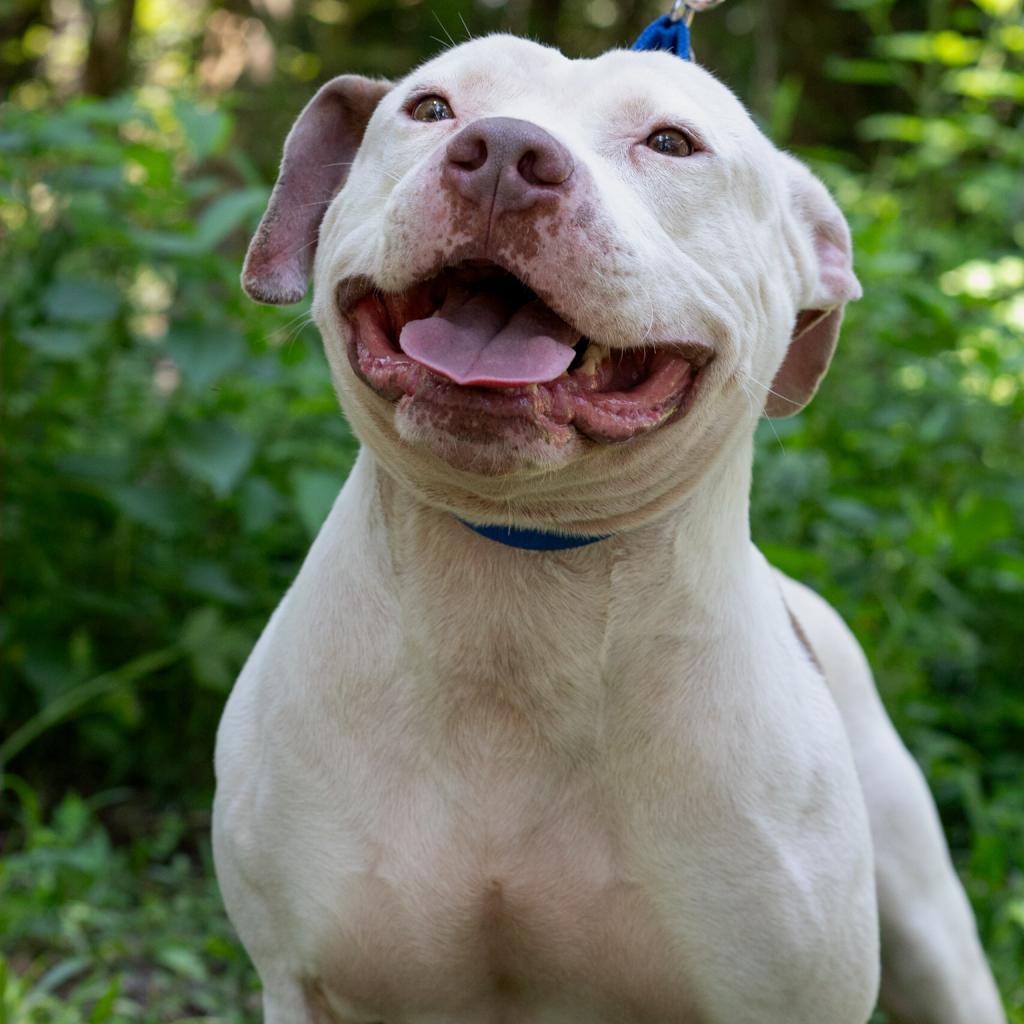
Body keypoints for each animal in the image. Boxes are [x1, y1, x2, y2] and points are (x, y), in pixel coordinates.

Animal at [211, 34, 1003, 1024]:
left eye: (671, 141)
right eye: (430, 108)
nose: (505, 153)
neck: (517, 591)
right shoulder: (300, 980)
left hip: (935, 938)